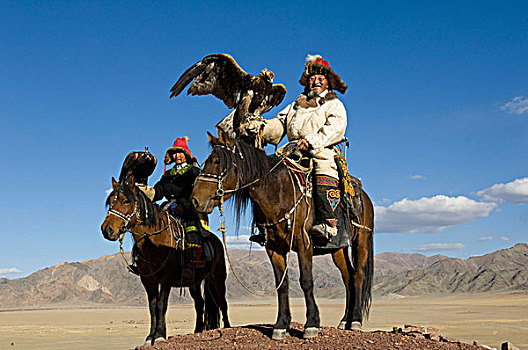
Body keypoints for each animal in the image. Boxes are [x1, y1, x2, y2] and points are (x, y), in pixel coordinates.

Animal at [192, 131, 374, 340]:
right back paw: (345, 320)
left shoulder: (304, 244)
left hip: (362, 240)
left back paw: (356, 321)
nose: (195, 200)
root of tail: (364, 195)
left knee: (358, 275)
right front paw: (281, 325)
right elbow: (282, 284)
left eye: (216, 162)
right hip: (338, 248)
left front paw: (311, 324)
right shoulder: (274, 249)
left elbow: (306, 282)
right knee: (348, 277)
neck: (278, 193)